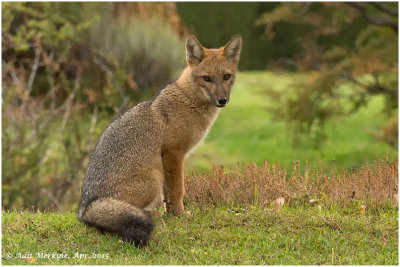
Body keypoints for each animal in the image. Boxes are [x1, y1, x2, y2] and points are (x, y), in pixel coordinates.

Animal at [77, 35, 242, 247]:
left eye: (227, 76)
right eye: (206, 78)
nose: (222, 100)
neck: (188, 101)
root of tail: (85, 209)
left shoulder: (168, 158)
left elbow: (169, 194)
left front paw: (171, 213)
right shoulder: (173, 153)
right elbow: (177, 190)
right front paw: (180, 215)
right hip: (153, 179)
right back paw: (153, 216)